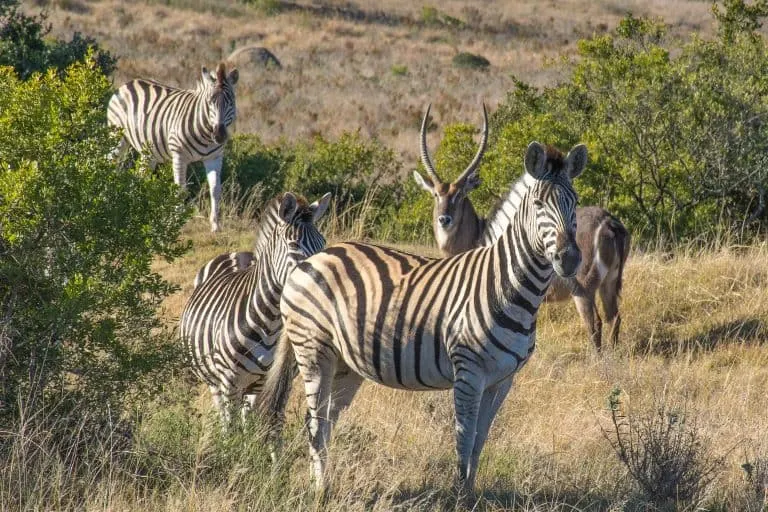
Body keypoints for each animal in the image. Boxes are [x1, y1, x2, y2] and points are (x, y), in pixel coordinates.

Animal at [105, 60, 237, 234]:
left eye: (231, 102)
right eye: (210, 102)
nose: (219, 135)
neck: (206, 134)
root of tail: (129, 83)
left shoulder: (214, 157)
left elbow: (215, 189)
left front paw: (215, 225)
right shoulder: (179, 156)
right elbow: (180, 190)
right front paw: (176, 222)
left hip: (149, 151)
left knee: (141, 176)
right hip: (117, 137)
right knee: (110, 164)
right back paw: (108, 199)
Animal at [184, 190, 332, 426]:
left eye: (323, 244)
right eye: (293, 245)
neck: (269, 321)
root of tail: (237, 253)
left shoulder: (261, 382)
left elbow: (253, 423)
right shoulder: (229, 382)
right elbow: (231, 427)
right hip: (214, 379)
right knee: (221, 411)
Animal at [264, 140, 588, 496]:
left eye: (575, 203)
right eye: (539, 204)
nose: (569, 259)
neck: (507, 286)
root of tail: (308, 261)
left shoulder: (502, 381)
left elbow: (480, 441)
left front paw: (471, 494)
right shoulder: (469, 373)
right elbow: (464, 438)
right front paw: (459, 496)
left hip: (344, 363)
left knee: (326, 419)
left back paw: (324, 483)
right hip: (313, 351)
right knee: (314, 421)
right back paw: (320, 491)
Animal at [414, 104, 632, 352]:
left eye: (460, 195)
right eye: (435, 194)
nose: (444, 219)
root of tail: (609, 222)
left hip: (583, 289)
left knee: (595, 323)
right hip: (609, 284)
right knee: (614, 318)